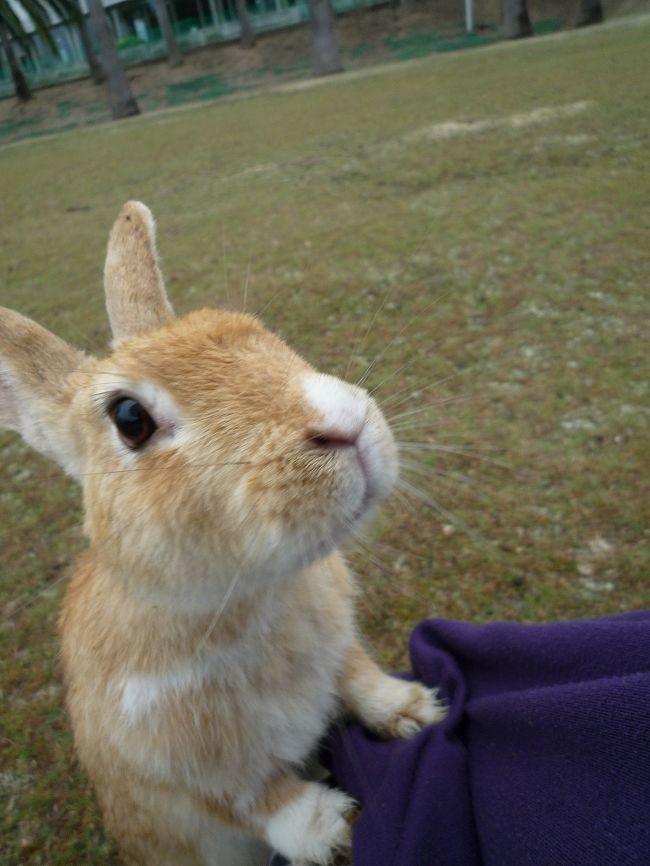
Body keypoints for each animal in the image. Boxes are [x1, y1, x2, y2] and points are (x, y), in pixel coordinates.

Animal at [0, 202, 446, 864]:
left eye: (248, 327)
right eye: (129, 418)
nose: (344, 424)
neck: (255, 601)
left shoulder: (339, 646)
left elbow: (356, 672)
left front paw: (414, 710)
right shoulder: (179, 773)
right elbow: (254, 797)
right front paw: (332, 827)